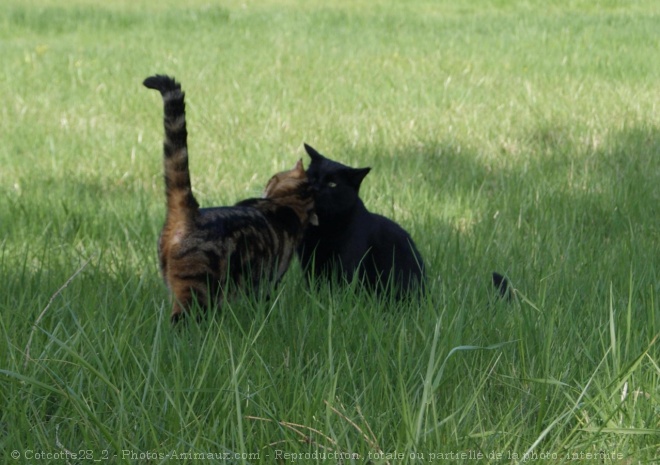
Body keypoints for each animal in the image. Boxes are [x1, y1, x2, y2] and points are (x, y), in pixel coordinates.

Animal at [144, 76, 318, 322]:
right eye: (273, 178)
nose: (265, 186)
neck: (287, 205)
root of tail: (191, 212)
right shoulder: (266, 281)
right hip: (197, 290)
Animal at [296, 143, 426, 300]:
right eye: (312, 177)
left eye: (332, 184)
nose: (315, 188)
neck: (323, 227)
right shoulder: (310, 262)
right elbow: (315, 286)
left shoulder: (348, 263)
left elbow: (341, 289)